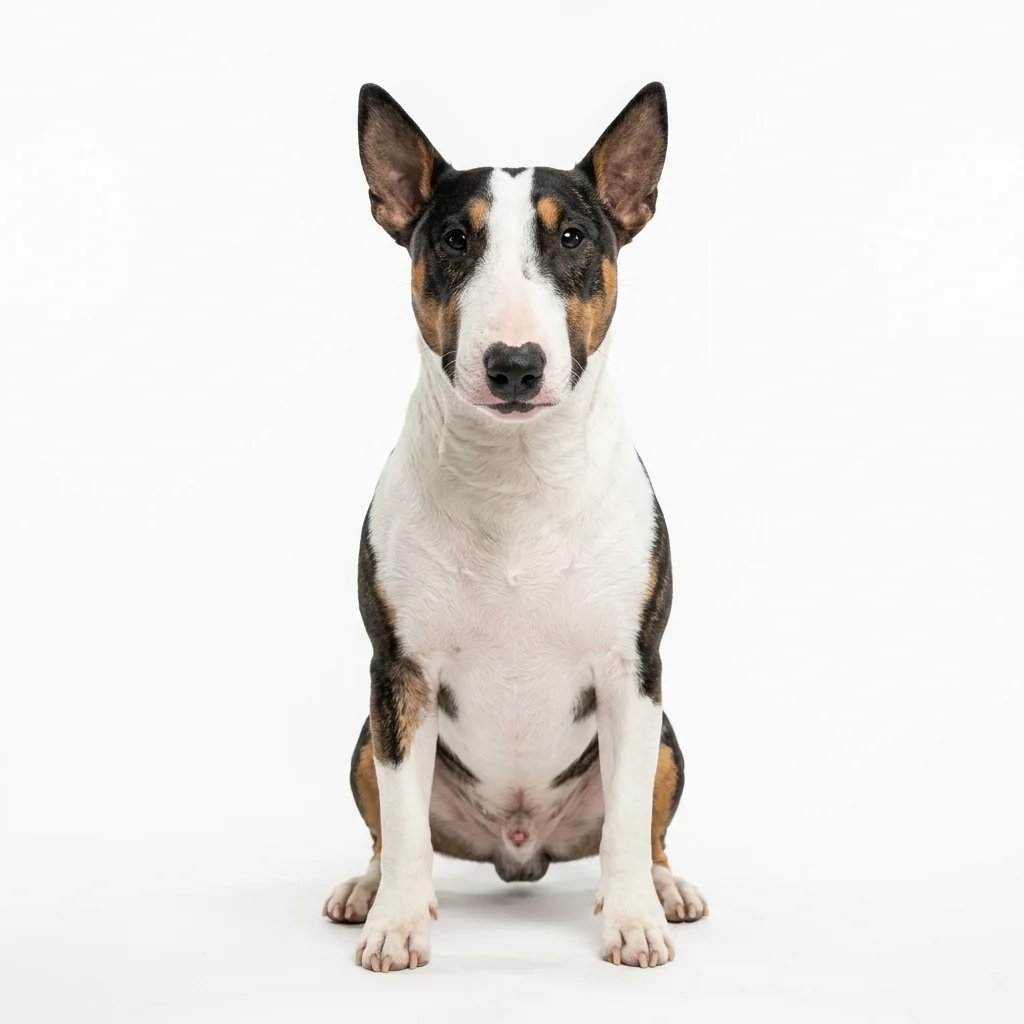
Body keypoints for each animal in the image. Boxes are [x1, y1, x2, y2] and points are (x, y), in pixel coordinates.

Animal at [323, 82, 708, 971]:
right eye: (455, 239)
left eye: (571, 236)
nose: (514, 366)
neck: (518, 476)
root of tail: (519, 848)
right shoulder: (401, 673)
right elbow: (402, 824)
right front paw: (398, 926)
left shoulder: (632, 671)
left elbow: (628, 824)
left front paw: (633, 923)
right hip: (366, 738)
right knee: (388, 828)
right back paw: (367, 891)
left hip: (668, 736)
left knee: (647, 827)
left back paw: (666, 891)